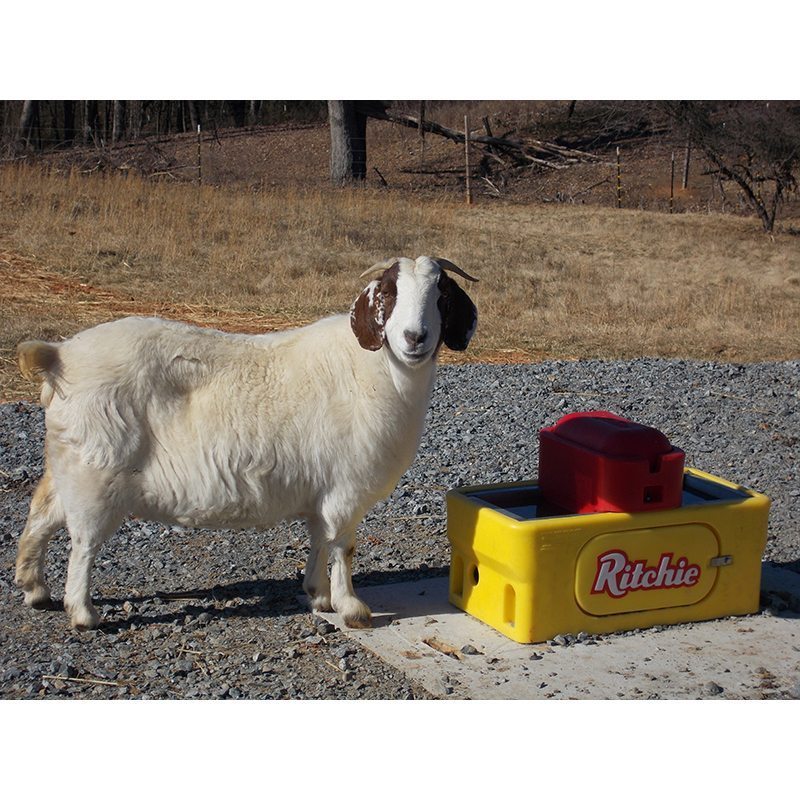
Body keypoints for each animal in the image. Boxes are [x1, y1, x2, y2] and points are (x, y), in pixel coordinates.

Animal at [14, 255, 478, 630]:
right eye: (388, 292)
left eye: (441, 294)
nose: (415, 337)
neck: (375, 369)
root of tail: (60, 358)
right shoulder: (346, 488)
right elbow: (343, 546)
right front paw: (351, 607)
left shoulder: (322, 490)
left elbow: (319, 539)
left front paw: (318, 594)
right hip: (97, 476)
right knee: (83, 544)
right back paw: (82, 614)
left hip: (70, 465)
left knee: (41, 515)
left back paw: (34, 587)